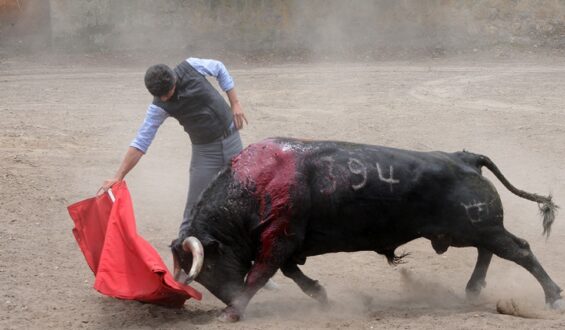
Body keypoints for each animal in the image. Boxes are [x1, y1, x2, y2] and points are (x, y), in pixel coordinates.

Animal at [171, 138, 560, 320]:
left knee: (519, 249)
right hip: (469, 229)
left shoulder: (280, 237)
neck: (255, 184)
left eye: (209, 268)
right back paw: (473, 288)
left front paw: (233, 312)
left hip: (479, 225)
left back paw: (553, 296)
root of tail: (464, 158)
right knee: (489, 250)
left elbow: (261, 272)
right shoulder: (285, 241)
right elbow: (292, 272)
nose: (228, 297)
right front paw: (322, 296)